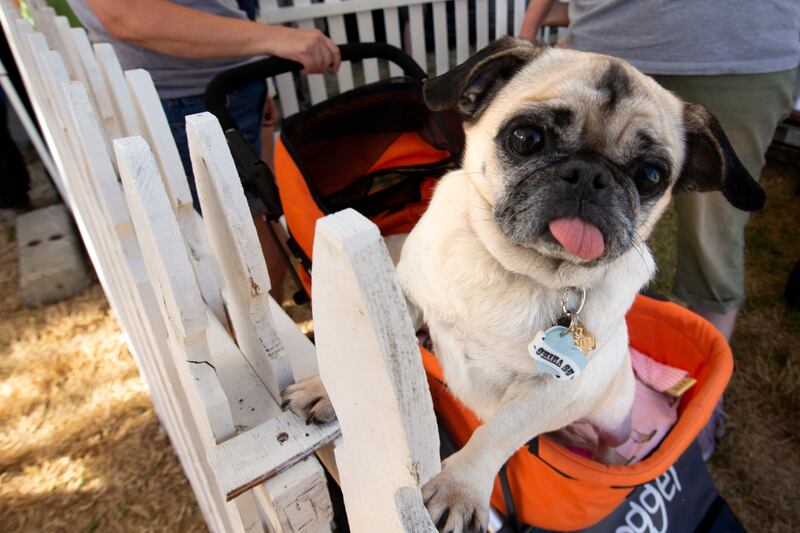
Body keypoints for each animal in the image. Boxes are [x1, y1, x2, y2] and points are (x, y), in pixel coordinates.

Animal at [282, 37, 764, 532]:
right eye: (525, 138)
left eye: (650, 176)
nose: (591, 174)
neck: (517, 269)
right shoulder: (404, 299)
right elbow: (370, 351)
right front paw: (328, 389)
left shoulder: (551, 389)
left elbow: (497, 432)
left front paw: (460, 487)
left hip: (615, 417)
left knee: (608, 445)